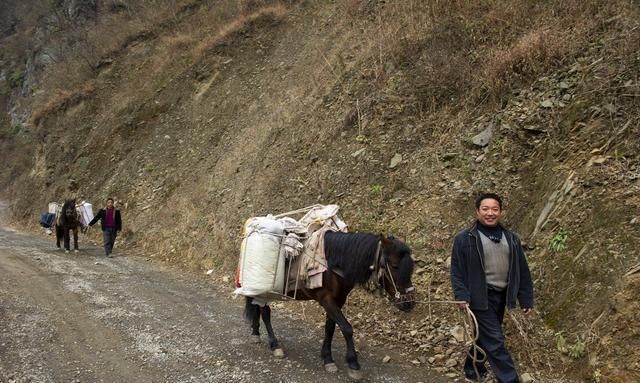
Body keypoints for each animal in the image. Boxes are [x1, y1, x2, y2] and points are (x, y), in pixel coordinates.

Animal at [244, 232, 416, 382]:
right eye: (394, 266)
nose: (409, 303)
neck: (333, 266)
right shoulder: (327, 300)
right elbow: (346, 328)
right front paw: (353, 364)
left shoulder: (337, 301)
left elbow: (330, 328)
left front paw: (327, 358)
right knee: (265, 312)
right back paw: (275, 345)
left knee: (257, 308)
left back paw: (255, 333)